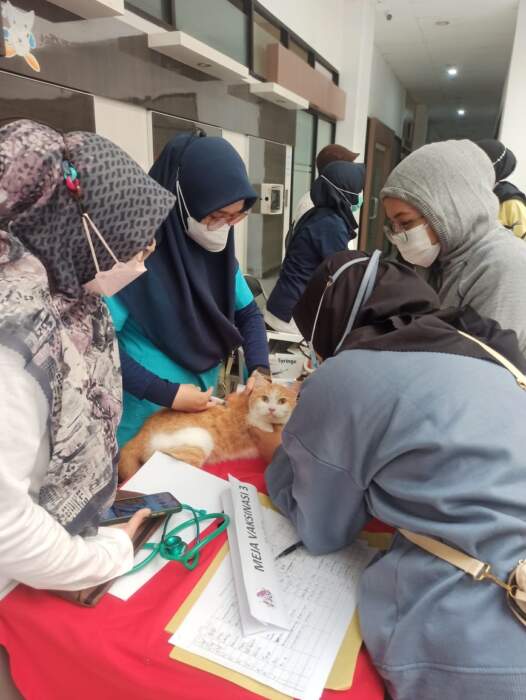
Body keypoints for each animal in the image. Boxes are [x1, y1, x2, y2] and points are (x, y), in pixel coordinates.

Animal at [118, 376, 298, 482]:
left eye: (282, 401)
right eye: (265, 398)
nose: (272, 409)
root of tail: (141, 433)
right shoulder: (254, 421)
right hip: (200, 440)